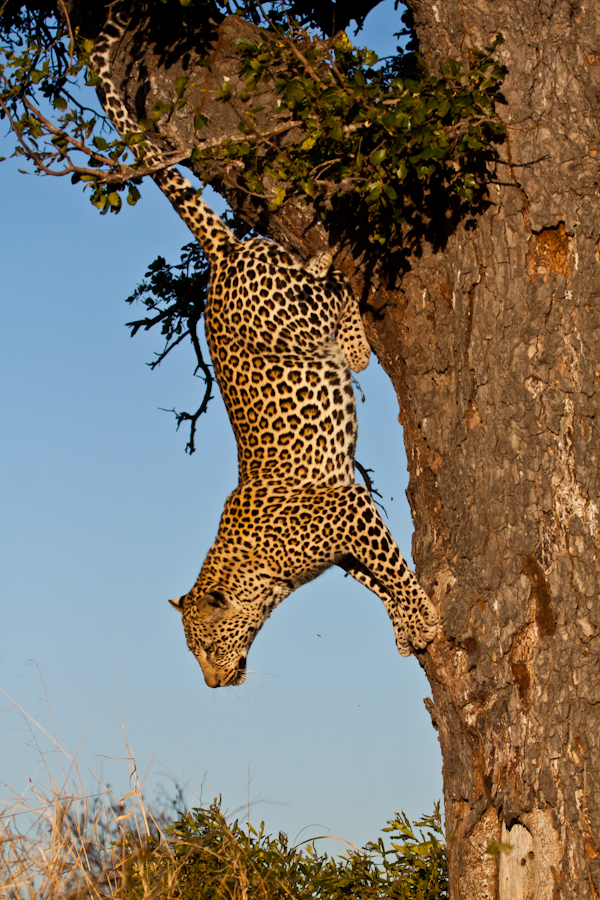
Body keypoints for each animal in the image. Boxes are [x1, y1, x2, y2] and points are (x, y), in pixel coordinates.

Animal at [91, 8, 438, 688]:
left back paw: (345, 305)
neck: (263, 575)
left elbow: (391, 568)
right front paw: (405, 625)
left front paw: (422, 620)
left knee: (334, 291)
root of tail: (221, 259)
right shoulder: (345, 539)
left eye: (205, 642)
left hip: (293, 305)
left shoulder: (347, 507)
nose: (212, 684)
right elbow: (378, 576)